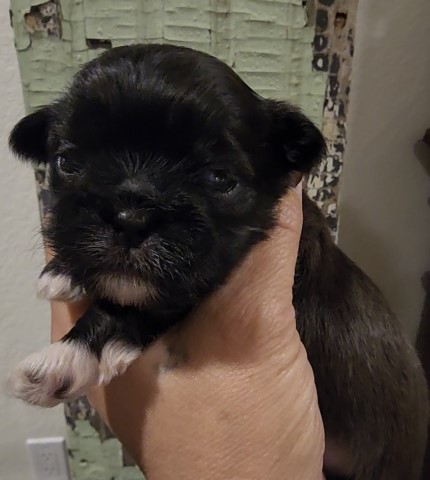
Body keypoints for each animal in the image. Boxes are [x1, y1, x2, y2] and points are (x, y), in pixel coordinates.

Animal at [7, 44, 430, 476]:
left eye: (219, 178)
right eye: (68, 163)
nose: (131, 218)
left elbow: (160, 299)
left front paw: (71, 355)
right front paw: (66, 270)